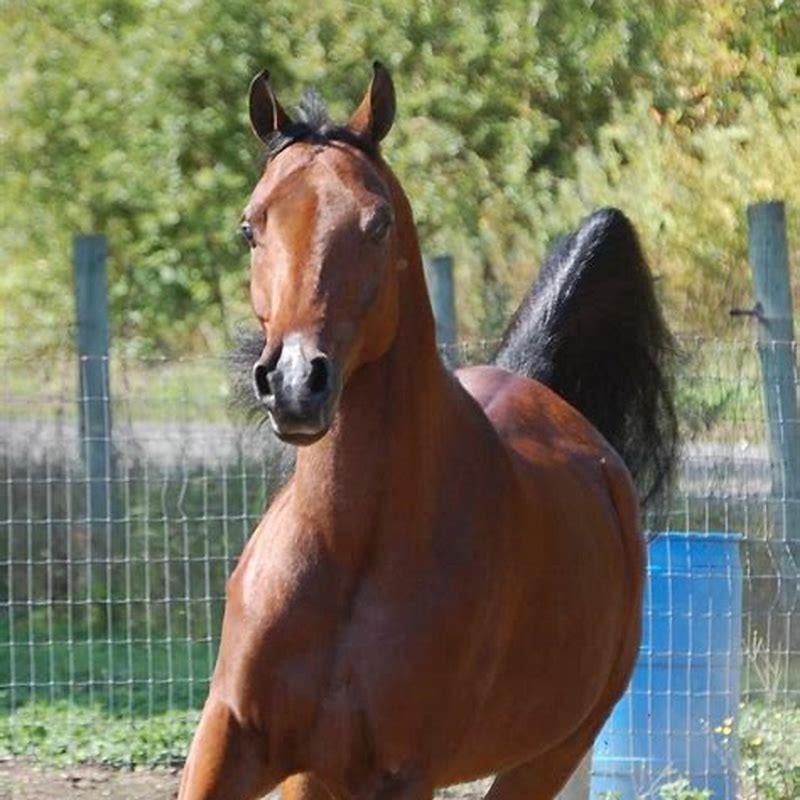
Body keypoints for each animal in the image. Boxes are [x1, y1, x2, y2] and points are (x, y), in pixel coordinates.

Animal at [178, 62, 677, 800]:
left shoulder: (403, 772)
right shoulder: (234, 741)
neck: (351, 554)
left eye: (378, 222)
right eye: (250, 226)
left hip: (549, 756)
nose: (296, 381)